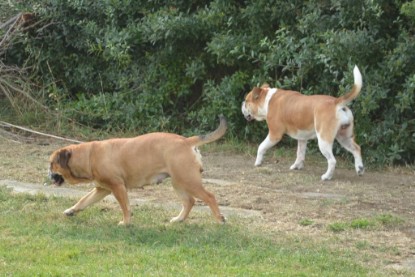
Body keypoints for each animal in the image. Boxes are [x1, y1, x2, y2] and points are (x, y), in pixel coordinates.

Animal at [48, 115, 228, 224]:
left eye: (51, 164)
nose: (48, 174)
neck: (89, 156)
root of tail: (186, 141)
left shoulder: (118, 187)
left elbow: (125, 206)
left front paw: (126, 222)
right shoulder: (101, 189)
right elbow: (83, 200)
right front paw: (71, 210)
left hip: (188, 180)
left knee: (209, 197)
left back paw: (219, 220)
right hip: (178, 181)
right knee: (189, 201)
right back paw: (179, 219)